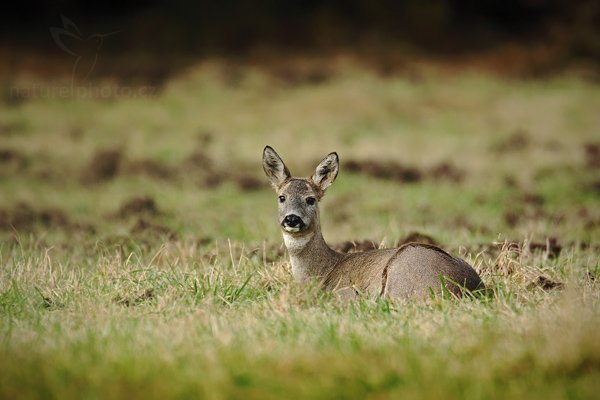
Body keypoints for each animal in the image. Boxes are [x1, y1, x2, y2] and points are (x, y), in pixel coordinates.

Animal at [262, 145, 482, 298]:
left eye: (311, 199)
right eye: (281, 197)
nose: (292, 218)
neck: (322, 273)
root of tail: (471, 287)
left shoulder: (342, 294)